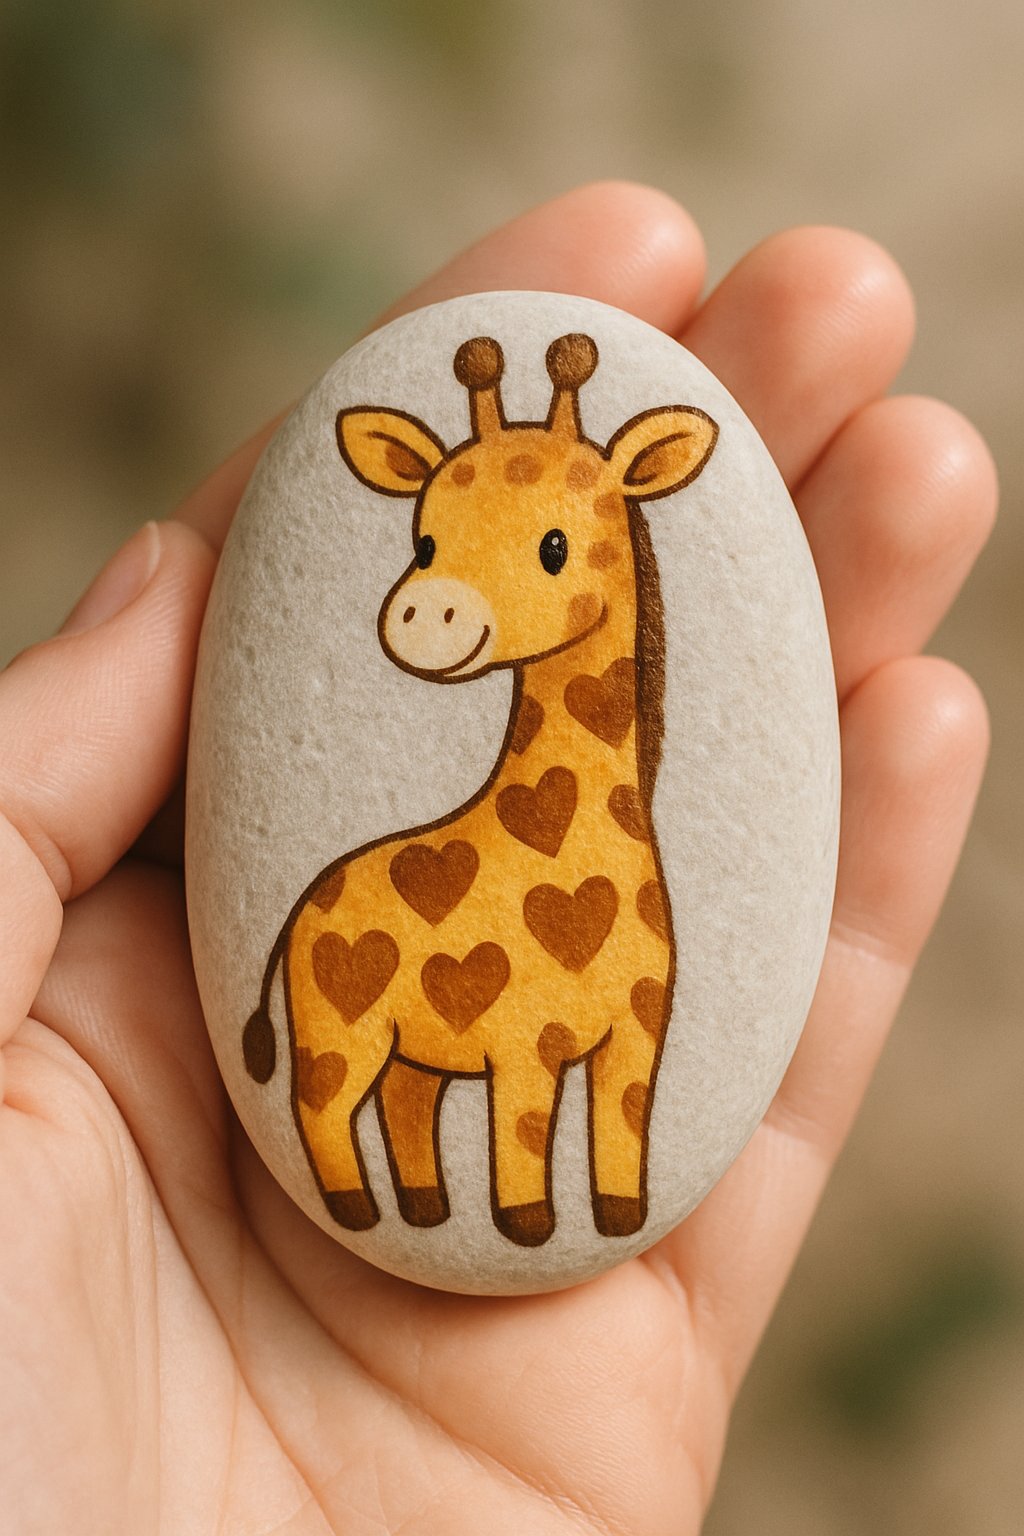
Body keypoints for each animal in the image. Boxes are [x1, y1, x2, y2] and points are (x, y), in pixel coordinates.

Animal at [242, 331, 718, 1247]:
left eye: (555, 547)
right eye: (424, 542)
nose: (425, 614)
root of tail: (303, 906)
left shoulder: (639, 1032)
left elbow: (623, 1133)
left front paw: (617, 1217)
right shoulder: (524, 1041)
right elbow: (525, 1137)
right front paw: (528, 1225)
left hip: (411, 1041)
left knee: (403, 1100)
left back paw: (425, 1208)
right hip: (339, 1025)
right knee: (322, 1108)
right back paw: (359, 1210)